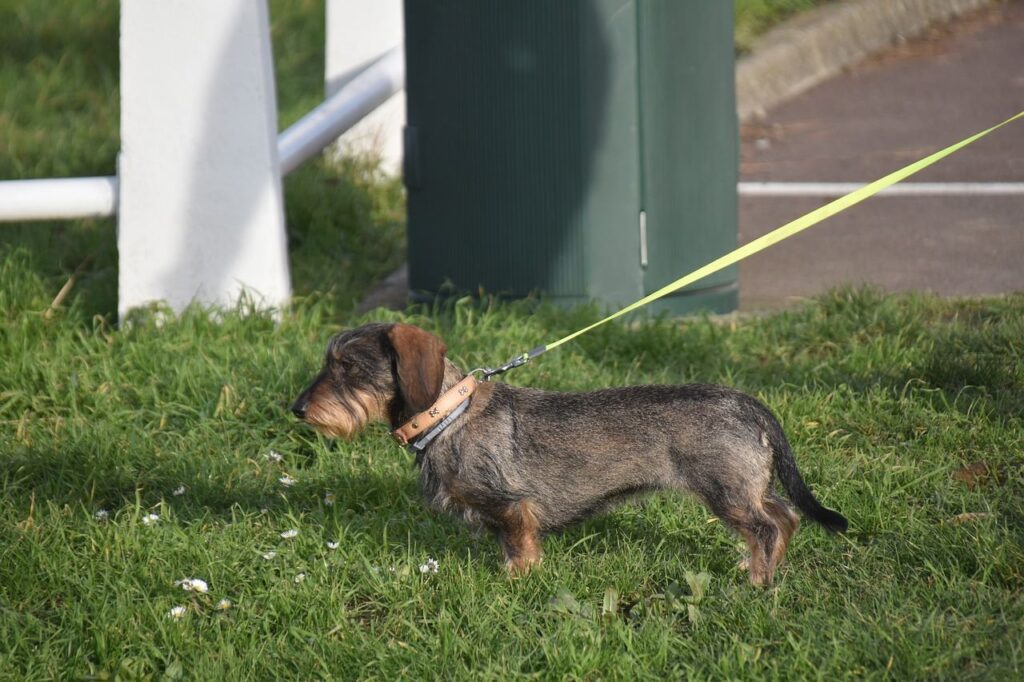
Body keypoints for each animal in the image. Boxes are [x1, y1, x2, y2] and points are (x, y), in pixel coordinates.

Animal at [290, 321, 847, 581]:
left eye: (348, 367)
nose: (297, 409)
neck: (448, 415)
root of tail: (748, 403)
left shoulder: (511, 507)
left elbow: (519, 549)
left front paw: (516, 582)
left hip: (726, 492)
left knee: (766, 527)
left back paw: (755, 581)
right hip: (748, 485)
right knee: (785, 517)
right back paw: (763, 570)